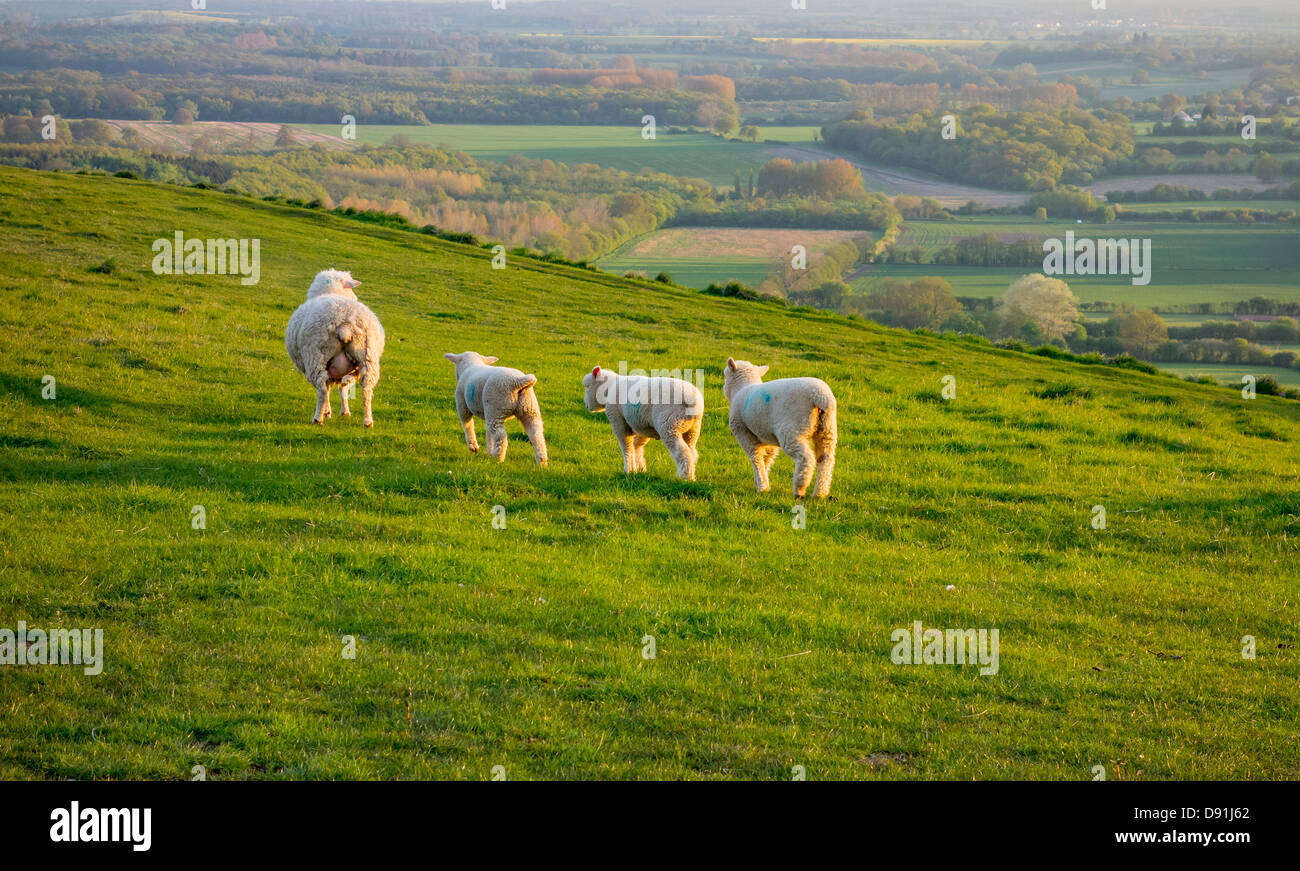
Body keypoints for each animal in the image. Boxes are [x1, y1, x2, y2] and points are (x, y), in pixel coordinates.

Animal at [284, 267, 384, 428]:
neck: (333, 292)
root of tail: (345, 323)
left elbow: (329, 389)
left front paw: (327, 412)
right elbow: (342, 389)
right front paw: (343, 412)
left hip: (316, 356)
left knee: (322, 388)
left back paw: (318, 418)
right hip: (368, 356)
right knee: (367, 388)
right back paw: (368, 421)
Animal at [717, 358, 837, 499]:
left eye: (725, 375)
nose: (723, 387)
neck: (742, 388)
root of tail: (820, 396)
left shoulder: (743, 432)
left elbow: (756, 457)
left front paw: (762, 486)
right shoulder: (768, 436)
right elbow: (767, 458)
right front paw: (760, 481)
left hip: (791, 430)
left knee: (806, 458)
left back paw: (800, 489)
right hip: (827, 429)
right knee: (826, 460)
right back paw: (820, 493)